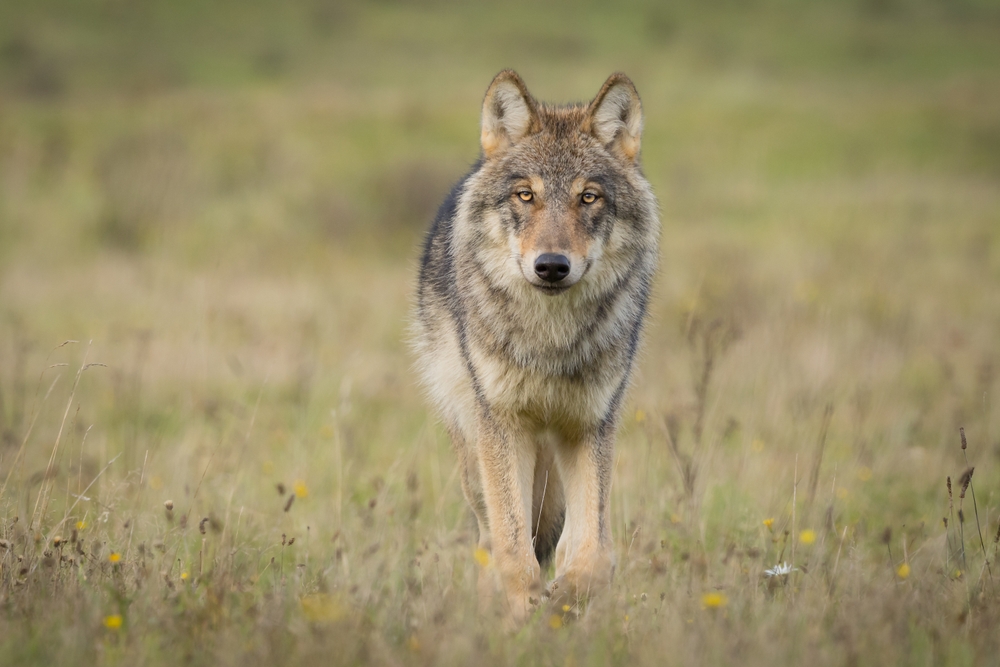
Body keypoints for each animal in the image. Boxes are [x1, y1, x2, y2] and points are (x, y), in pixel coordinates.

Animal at [412, 70, 659, 624]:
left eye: (588, 198)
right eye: (526, 195)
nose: (551, 266)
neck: (551, 343)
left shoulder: (591, 425)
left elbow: (592, 552)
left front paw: (564, 601)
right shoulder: (503, 425)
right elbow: (512, 547)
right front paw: (525, 611)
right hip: (473, 451)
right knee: (489, 538)